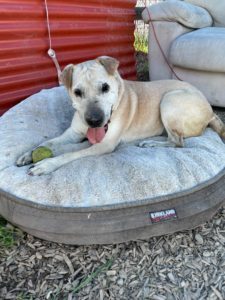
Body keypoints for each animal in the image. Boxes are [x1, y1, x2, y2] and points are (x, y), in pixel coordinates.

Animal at [16, 55, 225, 176]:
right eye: (77, 92)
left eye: (105, 87)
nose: (94, 120)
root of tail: (211, 111)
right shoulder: (73, 133)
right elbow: (49, 143)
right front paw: (30, 153)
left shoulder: (105, 144)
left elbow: (71, 152)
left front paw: (47, 164)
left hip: (169, 99)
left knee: (178, 142)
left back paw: (152, 143)